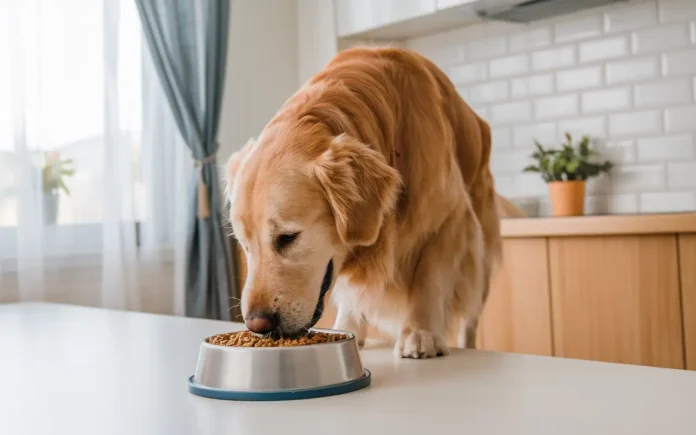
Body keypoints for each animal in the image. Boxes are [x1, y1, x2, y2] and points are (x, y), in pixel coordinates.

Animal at [226, 46, 502, 360]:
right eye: (245, 246)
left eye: (288, 237)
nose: (257, 325)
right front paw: (348, 328)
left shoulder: (450, 217)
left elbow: (428, 278)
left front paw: (420, 334)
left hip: (481, 246)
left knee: (471, 318)